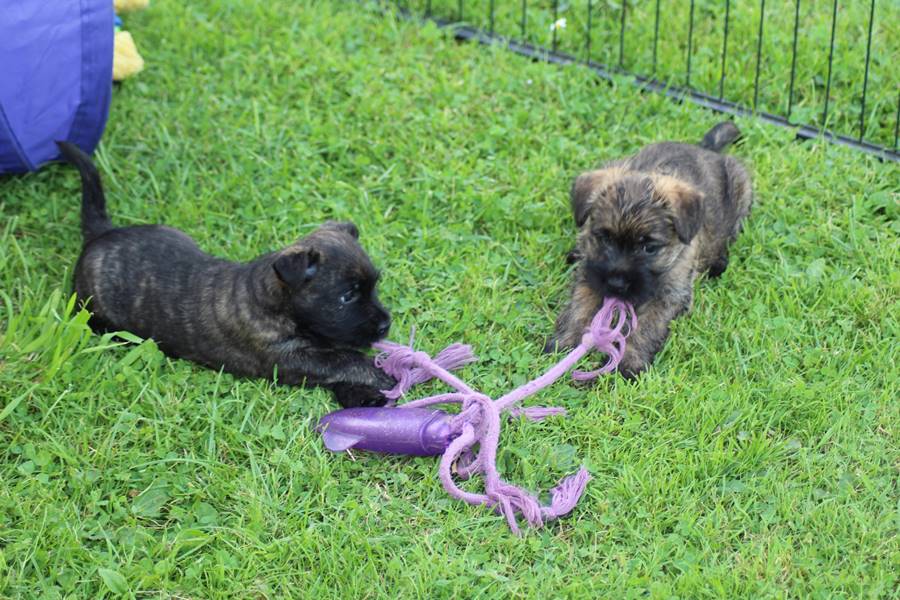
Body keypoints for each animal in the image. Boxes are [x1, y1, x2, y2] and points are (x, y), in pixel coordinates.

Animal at [57, 141, 395, 407]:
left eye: (374, 286)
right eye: (347, 296)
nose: (386, 325)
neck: (275, 301)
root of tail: (101, 233)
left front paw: (362, 395)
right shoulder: (286, 359)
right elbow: (341, 359)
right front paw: (379, 374)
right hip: (98, 316)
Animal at [546, 122, 752, 376]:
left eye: (649, 247)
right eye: (604, 238)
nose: (616, 284)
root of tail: (706, 148)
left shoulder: (668, 296)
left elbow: (646, 328)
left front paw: (628, 363)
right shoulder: (589, 277)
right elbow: (579, 308)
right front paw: (565, 341)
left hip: (742, 187)